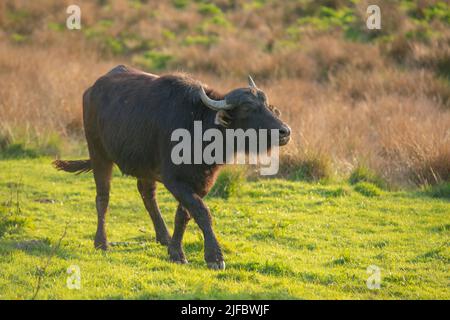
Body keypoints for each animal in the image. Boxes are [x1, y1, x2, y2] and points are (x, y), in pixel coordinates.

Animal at [53, 65, 292, 270]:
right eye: (248, 108)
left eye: (267, 105)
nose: (285, 131)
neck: (198, 127)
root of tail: (91, 90)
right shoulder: (174, 180)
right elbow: (201, 212)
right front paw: (214, 257)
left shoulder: (202, 182)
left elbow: (184, 215)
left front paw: (175, 251)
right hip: (99, 153)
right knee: (103, 197)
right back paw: (101, 242)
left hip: (144, 166)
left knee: (147, 195)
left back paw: (164, 237)